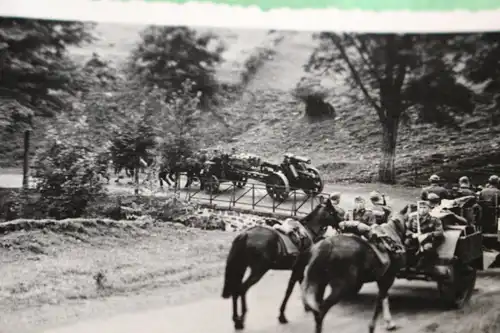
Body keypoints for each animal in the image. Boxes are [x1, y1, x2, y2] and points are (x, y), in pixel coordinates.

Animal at [221, 197, 346, 330]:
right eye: (334, 211)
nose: (342, 223)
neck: (307, 230)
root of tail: (245, 234)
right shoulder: (298, 267)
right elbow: (289, 290)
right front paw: (282, 315)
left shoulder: (298, 268)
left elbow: (300, 284)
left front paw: (306, 306)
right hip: (259, 270)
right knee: (242, 289)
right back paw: (241, 318)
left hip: (242, 267)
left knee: (236, 289)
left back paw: (236, 319)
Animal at [300, 202, 418, 332]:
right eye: (408, 220)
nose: (412, 235)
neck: (392, 233)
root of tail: (327, 245)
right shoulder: (388, 277)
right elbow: (380, 301)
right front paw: (375, 326)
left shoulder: (382, 278)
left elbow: (383, 299)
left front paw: (388, 322)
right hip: (341, 286)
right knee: (321, 310)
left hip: (321, 284)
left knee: (317, 309)